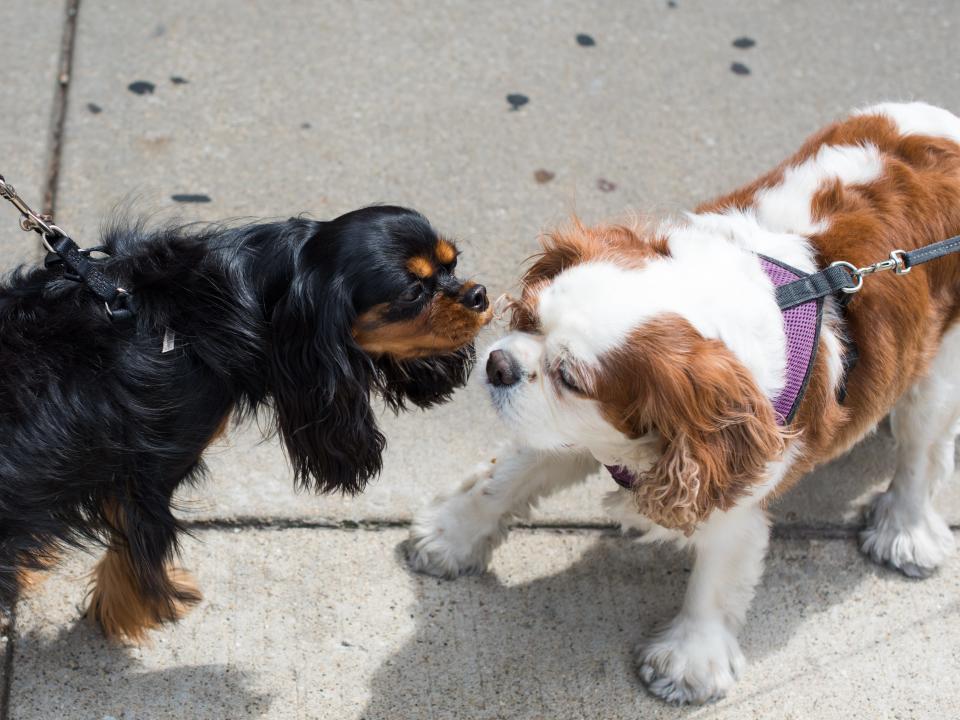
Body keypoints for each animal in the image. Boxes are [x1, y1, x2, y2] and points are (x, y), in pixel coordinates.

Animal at [0, 204, 492, 640]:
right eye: (412, 293)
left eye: (453, 264)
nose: (479, 294)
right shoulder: (146, 475)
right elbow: (138, 554)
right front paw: (141, 612)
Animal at [408, 101, 960, 704]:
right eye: (528, 319)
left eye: (570, 377)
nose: (498, 364)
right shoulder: (570, 427)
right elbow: (503, 482)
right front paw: (450, 536)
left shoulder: (731, 487)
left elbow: (715, 581)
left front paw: (688, 662)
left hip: (938, 369)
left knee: (922, 452)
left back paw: (904, 532)